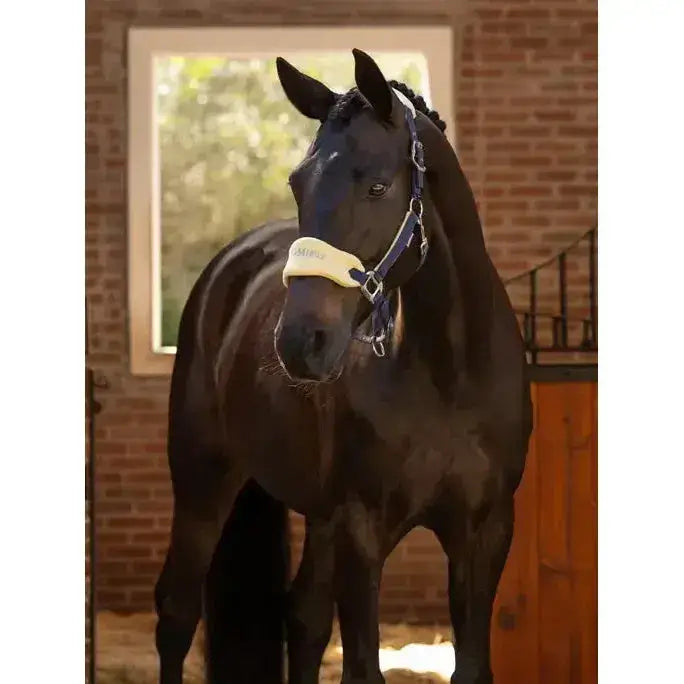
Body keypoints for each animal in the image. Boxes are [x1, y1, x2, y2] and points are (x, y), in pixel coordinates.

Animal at [153, 49, 533, 684]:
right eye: (297, 183)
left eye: (378, 185)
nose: (300, 341)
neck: (449, 378)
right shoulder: (362, 532)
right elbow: (361, 665)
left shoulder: (485, 534)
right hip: (202, 483)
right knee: (177, 615)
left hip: (318, 516)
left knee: (303, 618)